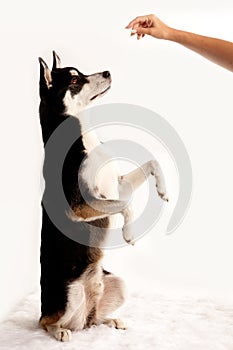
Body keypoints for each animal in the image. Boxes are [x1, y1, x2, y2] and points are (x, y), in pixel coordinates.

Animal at [39, 52, 168, 342]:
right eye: (74, 81)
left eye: (81, 72)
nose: (108, 72)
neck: (84, 136)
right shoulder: (81, 206)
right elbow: (126, 205)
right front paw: (129, 233)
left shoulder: (117, 186)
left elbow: (152, 163)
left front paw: (163, 189)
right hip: (70, 294)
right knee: (45, 322)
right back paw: (60, 331)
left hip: (117, 284)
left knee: (94, 318)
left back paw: (110, 321)